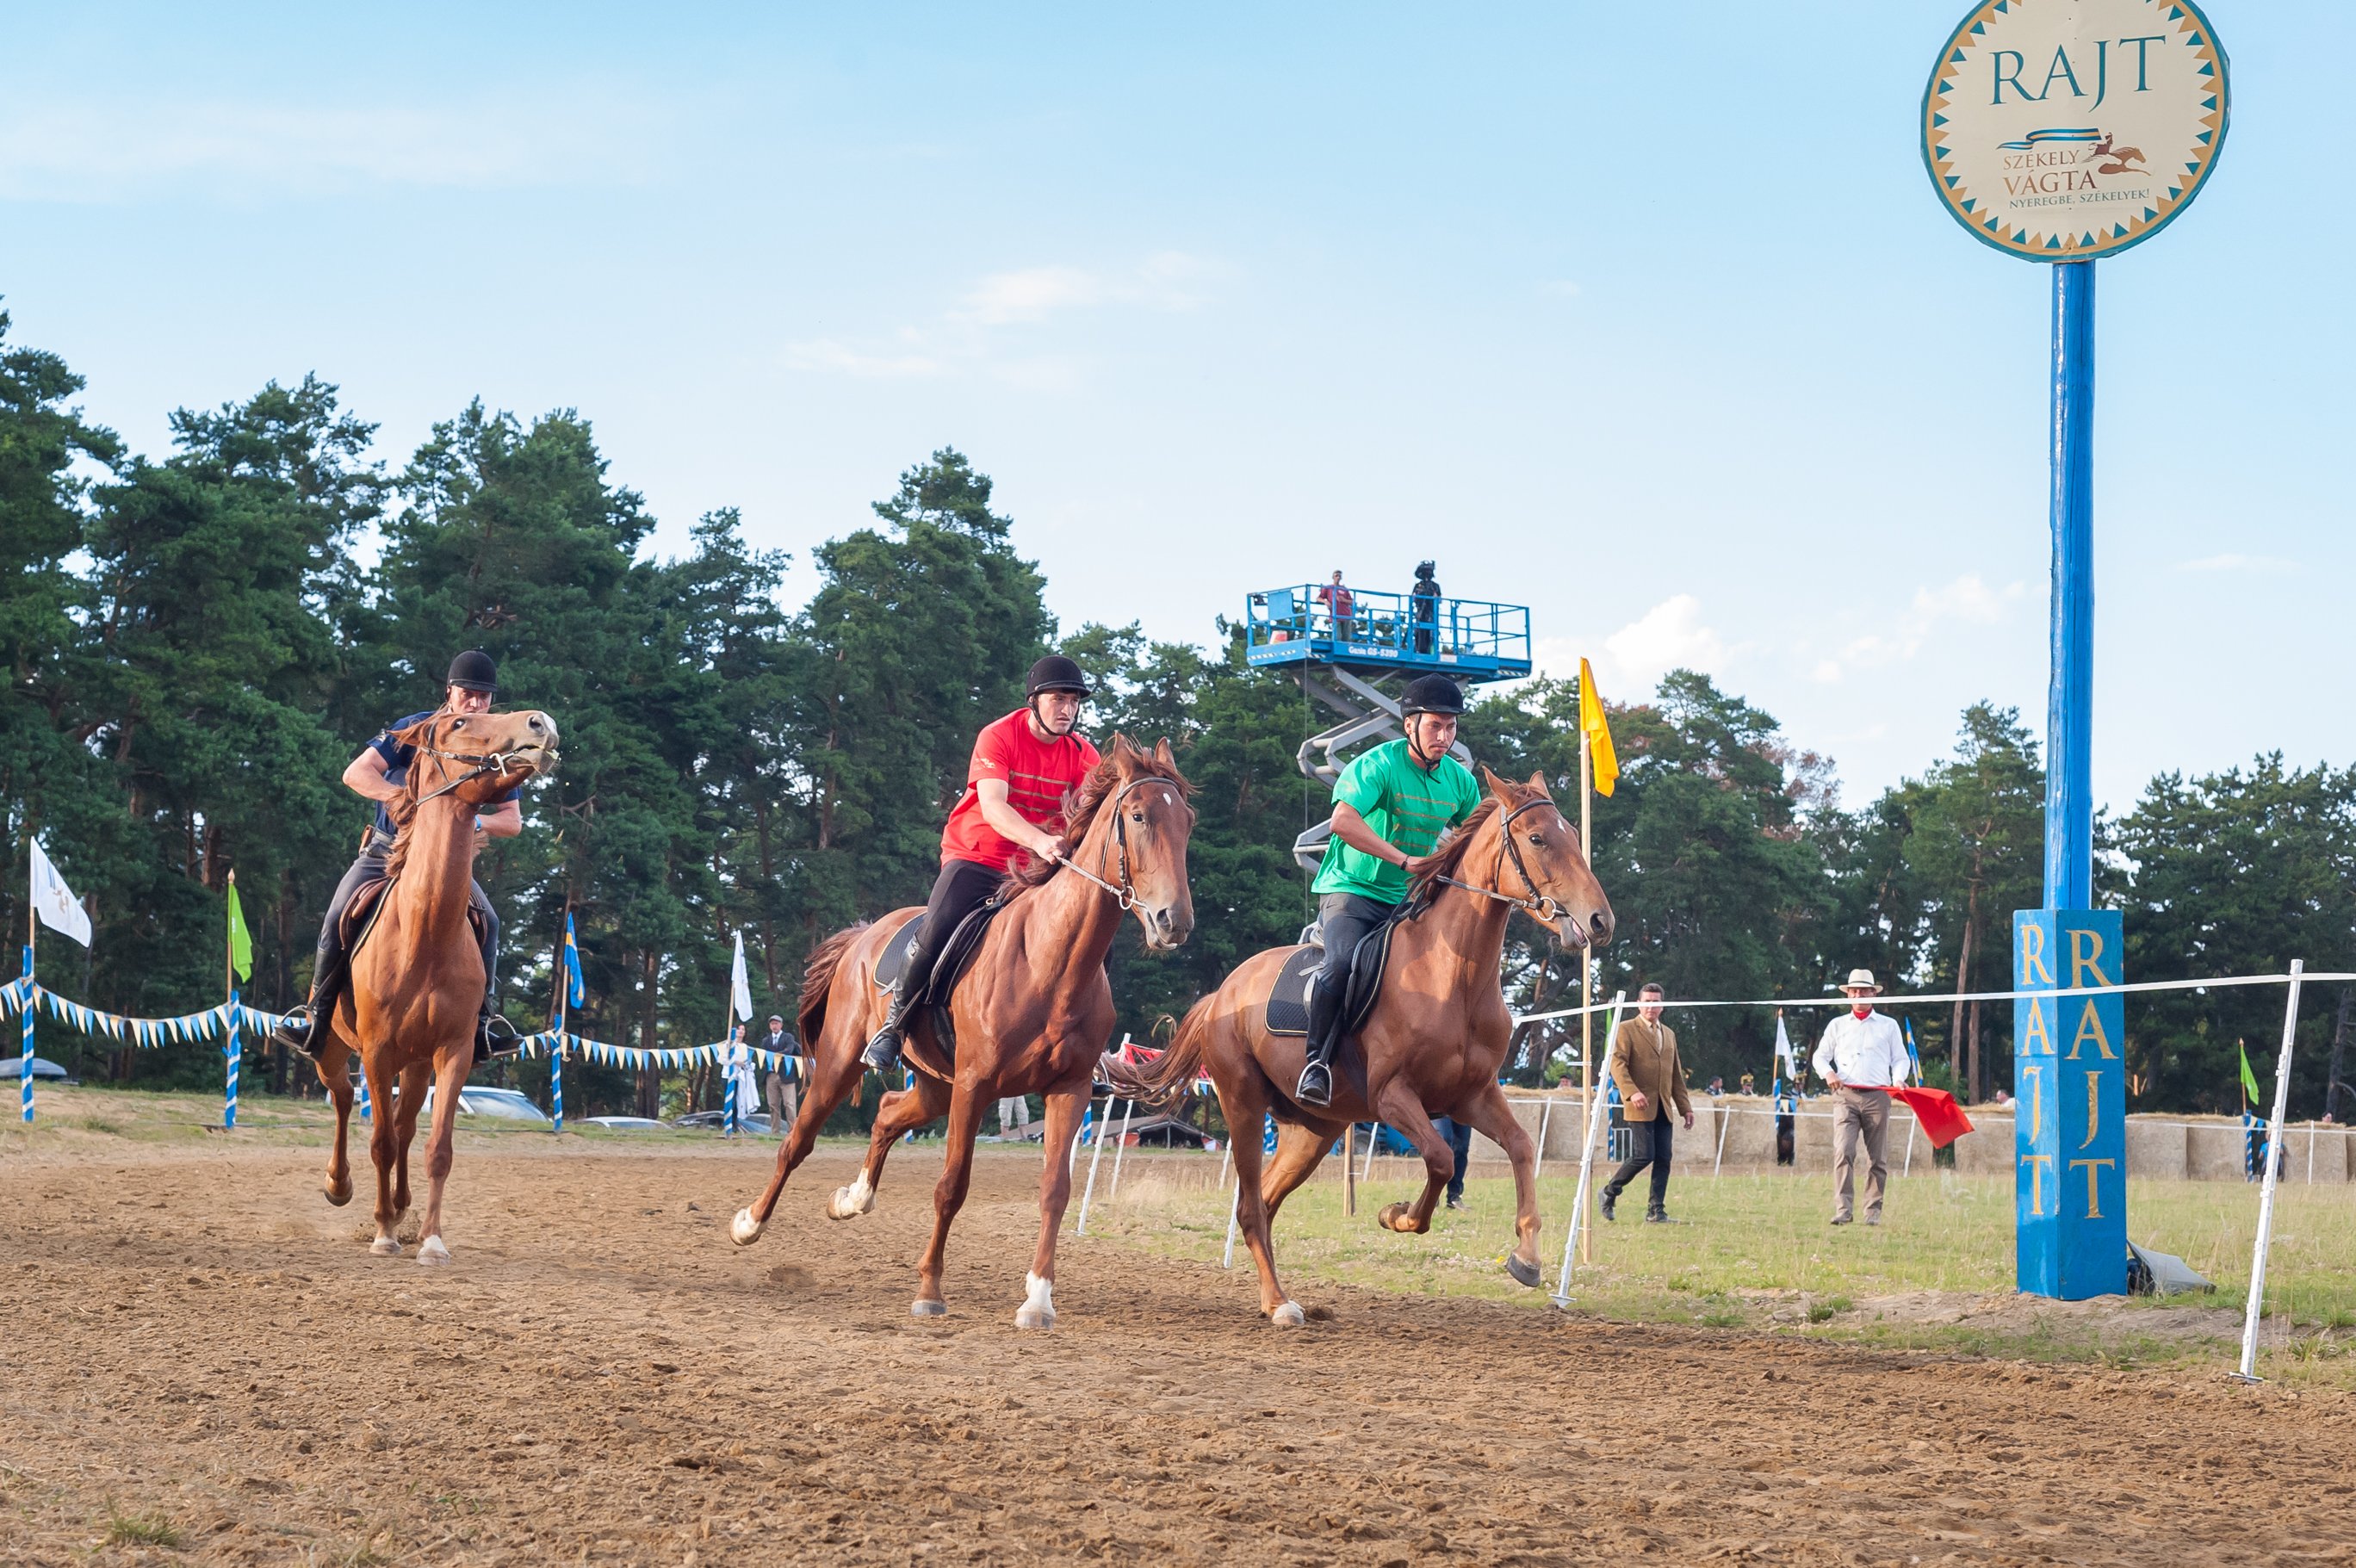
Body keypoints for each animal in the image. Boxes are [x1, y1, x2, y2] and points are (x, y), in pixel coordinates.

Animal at [315, 706, 558, 1261]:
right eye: (459, 724)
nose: (541, 722)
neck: (423, 933)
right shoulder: (378, 1051)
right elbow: (380, 1141)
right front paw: (384, 1234)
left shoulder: (453, 1051)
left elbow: (436, 1147)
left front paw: (429, 1240)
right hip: (334, 1049)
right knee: (343, 1099)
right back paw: (340, 1185)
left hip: (417, 1062)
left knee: (405, 1126)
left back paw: (401, 1203)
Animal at [730, 734, 1196, 1318]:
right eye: (1137, 816)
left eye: (1188, 822)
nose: (1173, 922)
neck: (1052, 961)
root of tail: (864, 934)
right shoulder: (975, 1086)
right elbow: (952, 1185)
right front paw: (930, 1291)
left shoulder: (1067, 1090)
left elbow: (1056, 1189)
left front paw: (1038, 1298)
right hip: (842, 1064)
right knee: (798, 1141)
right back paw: (749, 1224)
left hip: (934, 1084)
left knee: (887, 1114)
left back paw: (853, 1200)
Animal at [1112, 767, 1611, 1318]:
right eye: (1538, 838)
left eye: (1573, 833)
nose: (1599, 921)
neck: (1453, 977)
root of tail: (1222, 993)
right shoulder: (1393, 1098)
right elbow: (1440, 1158)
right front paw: (1398, 1215)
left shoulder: (1472, 1096)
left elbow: (1521, 1147)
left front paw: (1526, 1257)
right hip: (1243, 1104)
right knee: (1249, 1205)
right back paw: (1280, 1304)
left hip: (1314, 1132)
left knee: (1263, 1202)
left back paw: (1274, 1297)